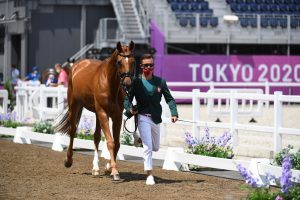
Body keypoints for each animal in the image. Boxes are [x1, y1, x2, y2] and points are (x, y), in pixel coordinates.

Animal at [55, 41, 136, 180]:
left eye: (133, 61)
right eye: (119, 62)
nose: (128, 83)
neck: (109, 83)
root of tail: (78, 64)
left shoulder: (117, 116)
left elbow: (117, 143)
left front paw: (108, 168)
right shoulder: (103, 113)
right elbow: (110, 142)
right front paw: (114, 171)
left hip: (97, 114)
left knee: (96, 137)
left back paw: (96, 168)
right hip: (75, 105)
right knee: (72, 131)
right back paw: (68, 160)